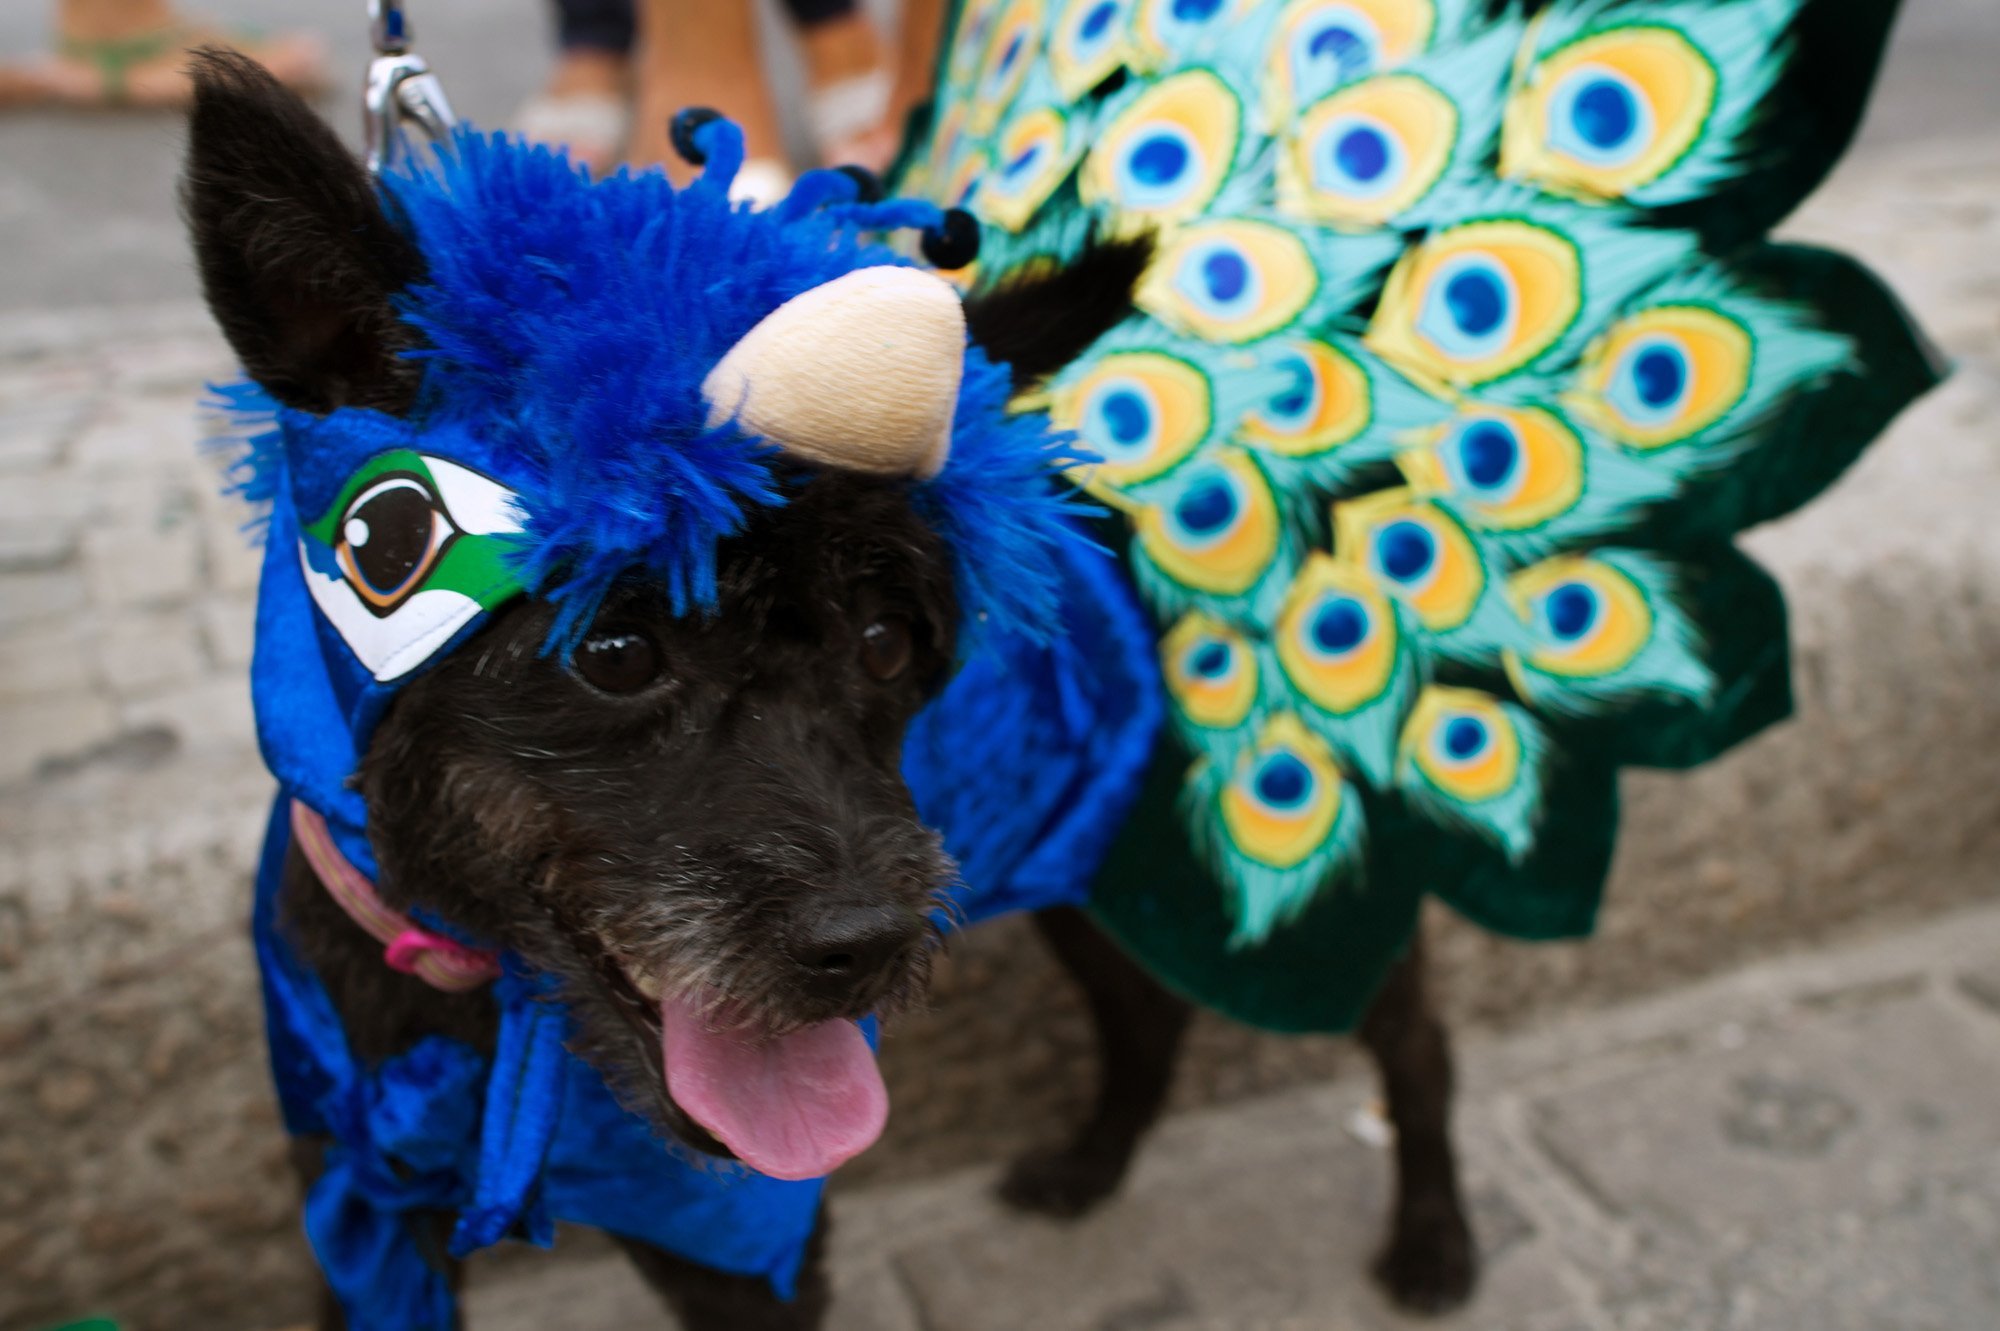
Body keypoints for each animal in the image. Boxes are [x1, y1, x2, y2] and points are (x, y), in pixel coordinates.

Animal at [188, 49, 1472, 1319]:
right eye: (614, 650)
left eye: (887, 642)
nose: (864, 943)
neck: (487, 994)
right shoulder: (363, 1209)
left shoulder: (745, 1236)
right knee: (1146, 1011)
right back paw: (1088, 1165)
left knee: (1406, 1033)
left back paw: (1430, 1233)